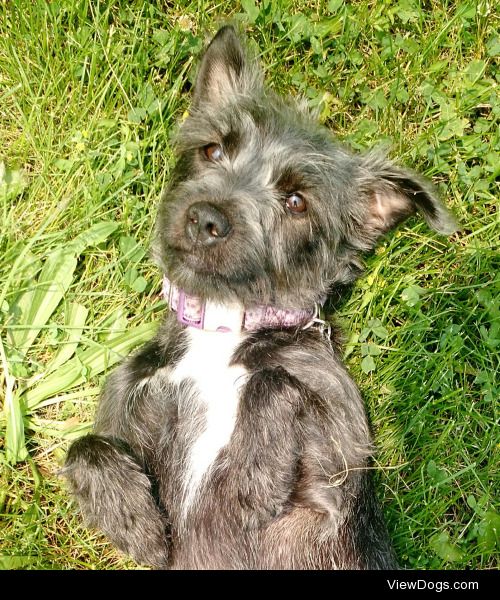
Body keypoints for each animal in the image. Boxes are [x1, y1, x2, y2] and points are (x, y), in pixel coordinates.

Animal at [63, 25, 458, 568]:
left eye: (296, 202)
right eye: (212, 150)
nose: (206, 219)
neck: (222, 330)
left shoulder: (335, 468)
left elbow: (274, 381)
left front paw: (251, 479)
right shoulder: (129, 401)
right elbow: (84, 446)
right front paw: (130, 516)